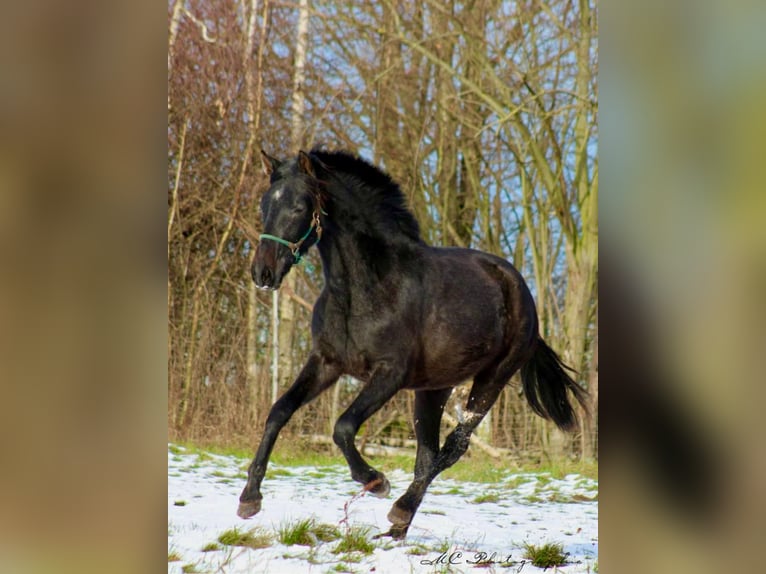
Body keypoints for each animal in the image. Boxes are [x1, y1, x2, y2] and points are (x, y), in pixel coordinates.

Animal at [240, 148, 588, 540]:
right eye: (265, 203)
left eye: (299, 206)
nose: (263, 273)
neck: (366, 288)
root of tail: (521, 290)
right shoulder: (326, 363)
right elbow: (279, 411)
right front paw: (249, 499)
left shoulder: (389, 373)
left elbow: (343, 427)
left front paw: (376, 481)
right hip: (433, 389)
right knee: (428, 454)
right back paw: (396, 530)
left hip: (492, 380)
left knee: (452, 448)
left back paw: (400, 508)